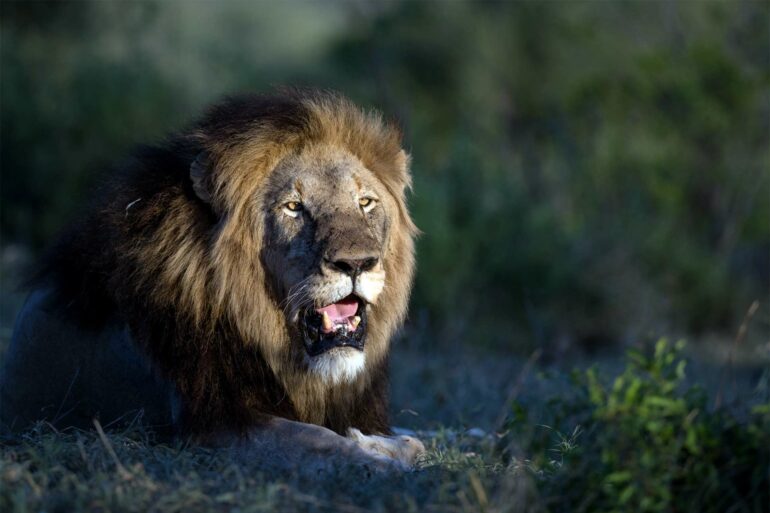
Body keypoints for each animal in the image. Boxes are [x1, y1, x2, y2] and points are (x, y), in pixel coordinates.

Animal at [0, 89, 424, 473]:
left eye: (365, 203)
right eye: (293, 207)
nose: (355, 263)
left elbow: (413, 439)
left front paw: (384, 443)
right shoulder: (211, 425)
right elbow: (317, 438)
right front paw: (378, 460)